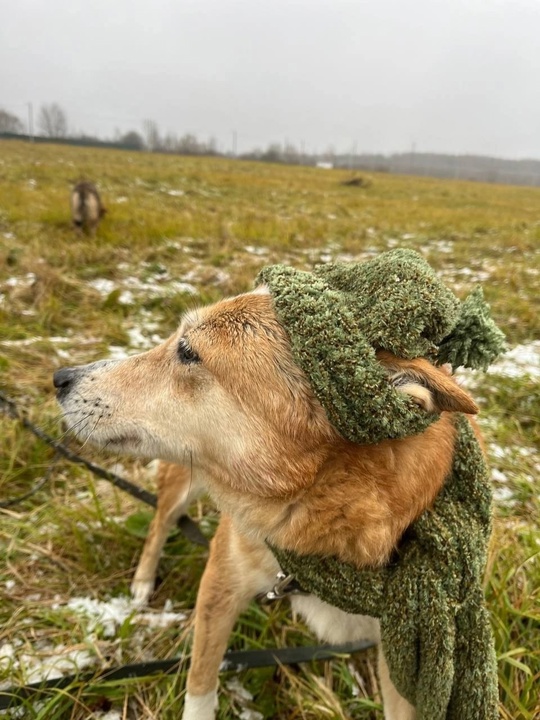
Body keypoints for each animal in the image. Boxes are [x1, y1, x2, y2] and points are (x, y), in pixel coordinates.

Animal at [53, 286, 476, 720]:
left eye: (187, 351)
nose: (60, 378)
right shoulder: (221, 583)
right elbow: (200, 686)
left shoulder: (403, 663)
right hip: (183, 481)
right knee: (160, 523)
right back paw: (142, 583)